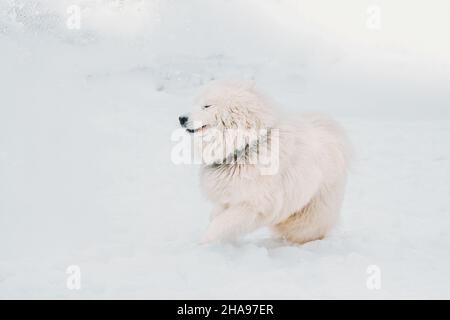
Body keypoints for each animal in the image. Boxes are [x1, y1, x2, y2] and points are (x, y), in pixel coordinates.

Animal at [179, 81, 352, 244]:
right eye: (196, 102)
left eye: (207, 105)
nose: (181, 118)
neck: (245, 148)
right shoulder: (229, 194)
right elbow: (217, 215)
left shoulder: (254, 204)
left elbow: (222, 223)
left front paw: (205, 243)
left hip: (310, 211)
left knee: (307, 229)